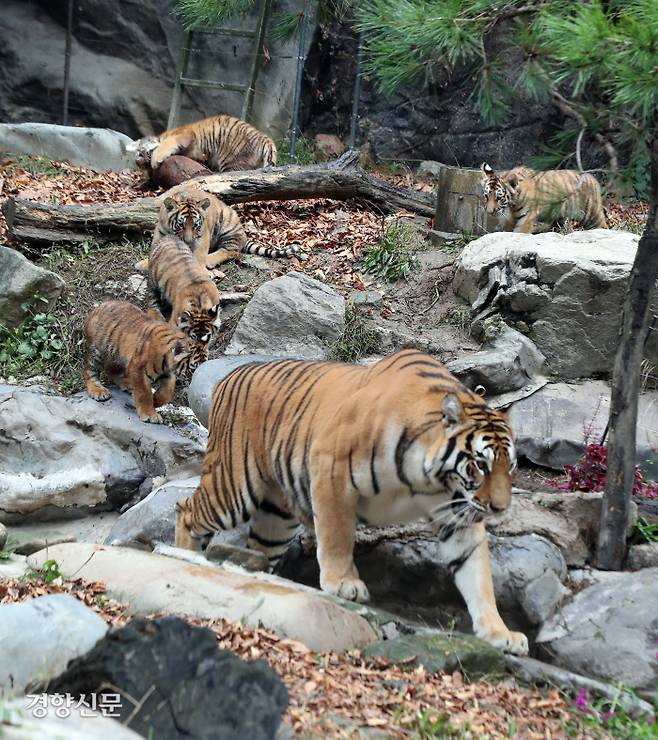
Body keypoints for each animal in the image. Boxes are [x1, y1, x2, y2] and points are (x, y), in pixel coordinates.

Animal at [133, 114, 277, 173]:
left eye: (140, 153)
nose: (139, 162)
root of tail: (266, 140)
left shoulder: (184, 134)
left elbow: (166, 145)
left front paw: (155, 160)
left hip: (233, 161)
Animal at [135, 188, 300, 272]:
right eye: (181, 225)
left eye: (195, 226)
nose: (188, 242)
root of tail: (243, 235)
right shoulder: (160, 232)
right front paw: (144, 264)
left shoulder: (202, 236)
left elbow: (199, 254)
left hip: (227, 224)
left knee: (231, 251)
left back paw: (210, 260)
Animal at [175, 349, 528, 655]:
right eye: (480, 465)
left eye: (510, 466)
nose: (499, 508)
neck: (430, 476)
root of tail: (230, 375)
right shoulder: (330, 468)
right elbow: (337, 536)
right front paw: (344, 584)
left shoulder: (458, 513)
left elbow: (477, 575)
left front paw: (500, 633)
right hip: (233, 490)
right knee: (186, 509)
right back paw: (184, 555)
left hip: (275, 518)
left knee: (259, 550)